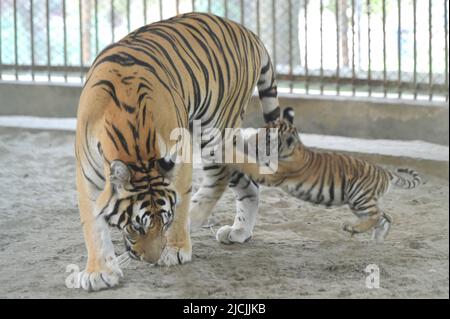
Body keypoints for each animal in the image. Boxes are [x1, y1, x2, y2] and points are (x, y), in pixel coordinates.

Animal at [75, 12, 280, 292]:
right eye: (135, 226)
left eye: (165, 220)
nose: (151, 259)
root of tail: (249, 32)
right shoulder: (86, 175)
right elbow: (92, 226)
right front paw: (99, 272)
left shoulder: (180, 156)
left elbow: (180, 203)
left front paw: (175, 249)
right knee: (248, 183)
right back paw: (239, 231)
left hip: (215, 129)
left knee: (220, 177)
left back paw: (195, 220)